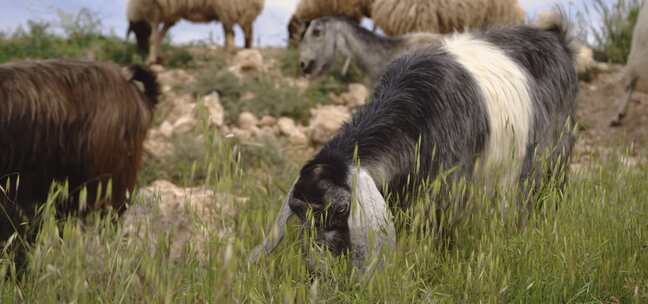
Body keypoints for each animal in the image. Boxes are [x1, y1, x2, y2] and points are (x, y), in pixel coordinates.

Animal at [127, 0, 266, 64]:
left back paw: (235, 53)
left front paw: (150, 60)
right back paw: (243, 52)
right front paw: (157, 58)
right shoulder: (170, 15)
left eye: (139, 33)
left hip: (231, 7)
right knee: (240, 32)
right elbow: (160, 36)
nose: (141, 52)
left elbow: (154, 37)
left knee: (237, 33)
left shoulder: (154, 10)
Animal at [251, 14, 580, 270]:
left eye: (343, 209)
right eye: (298, 211)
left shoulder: (451, 189)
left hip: (553, 152)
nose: (320, 267)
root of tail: (556, 37)